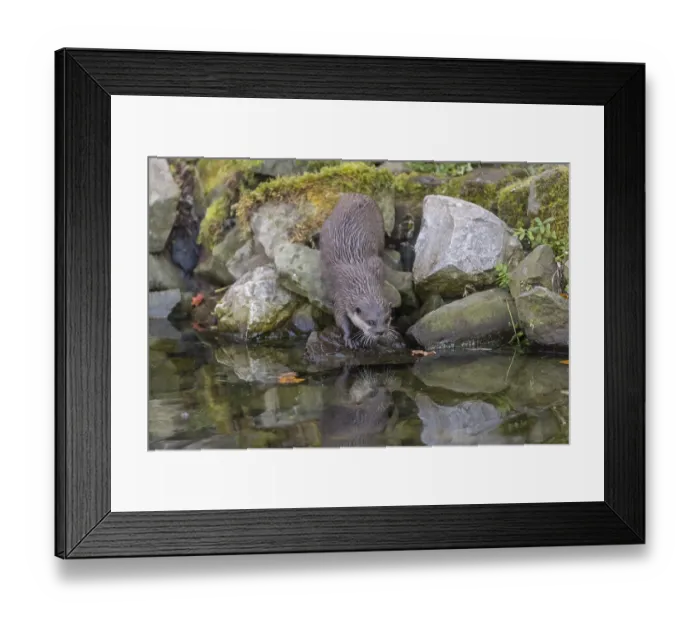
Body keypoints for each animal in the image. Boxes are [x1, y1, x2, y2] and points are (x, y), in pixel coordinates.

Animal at [320, 193, 394, 349]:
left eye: (387, 319)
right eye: (370, 321)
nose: (381, 332)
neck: (359, 276)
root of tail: (354, 194)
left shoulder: (377, 266)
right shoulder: (341, 297)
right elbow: (340, 318)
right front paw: (349, 338)